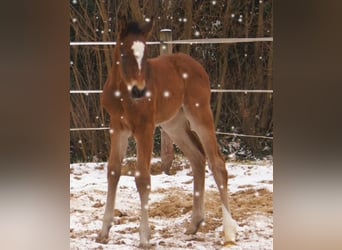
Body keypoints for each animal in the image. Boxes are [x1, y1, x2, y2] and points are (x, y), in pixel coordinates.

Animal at [95, 18, 235, 247]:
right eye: (124, 53)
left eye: (146, 54)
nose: (139, 90)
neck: (123, 94)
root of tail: (196, 65)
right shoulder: (117, 127)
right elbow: (113, 171)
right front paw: (103, 232)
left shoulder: (145, 128)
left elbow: (143, 178)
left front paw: (144, 237)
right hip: (174, 125)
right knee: (198, 159)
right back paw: (194, 224)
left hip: (199, 114)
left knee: (217, 163)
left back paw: (229, 232)